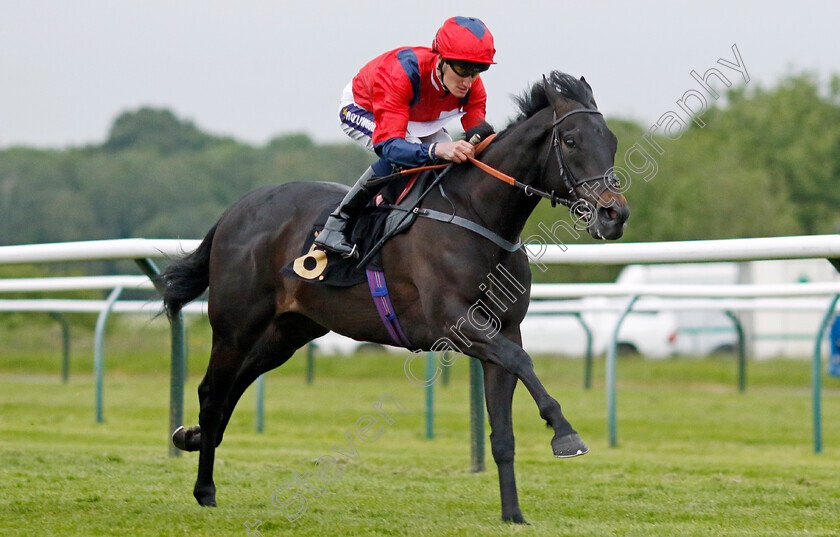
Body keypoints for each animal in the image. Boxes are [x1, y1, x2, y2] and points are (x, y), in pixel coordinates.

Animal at [161, 71, 628, 524]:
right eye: (571, 141)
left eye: (611, 140)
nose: (615, 214)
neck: (476, 214)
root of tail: (235, 210)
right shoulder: (456, 323)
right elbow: (524, 362)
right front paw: (566, 433)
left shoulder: (504, 330)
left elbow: (504, 432)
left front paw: (513, 514)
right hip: (236, 325)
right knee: (212, 393)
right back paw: (204, 488)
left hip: (288, 331)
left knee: (234, 387)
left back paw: (192, 437)